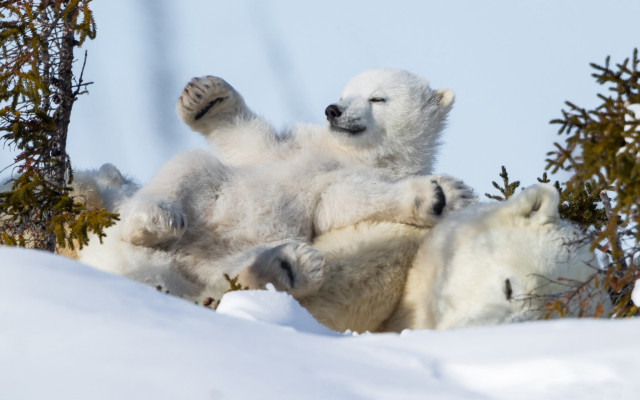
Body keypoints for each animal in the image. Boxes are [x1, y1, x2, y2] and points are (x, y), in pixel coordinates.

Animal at [79, 69, 475, 303]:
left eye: (378, 98)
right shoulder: (291, 147)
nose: (333, 110)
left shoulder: (362, 177)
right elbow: (253, 141)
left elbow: (346, 200)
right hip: (203, 206)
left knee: (231, 269)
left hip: (240, 250)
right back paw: (155, 221)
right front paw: (205, 97)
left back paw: (288, 266)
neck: (349, 153)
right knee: (192, 169)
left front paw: (441, 195)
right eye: (344, 93)